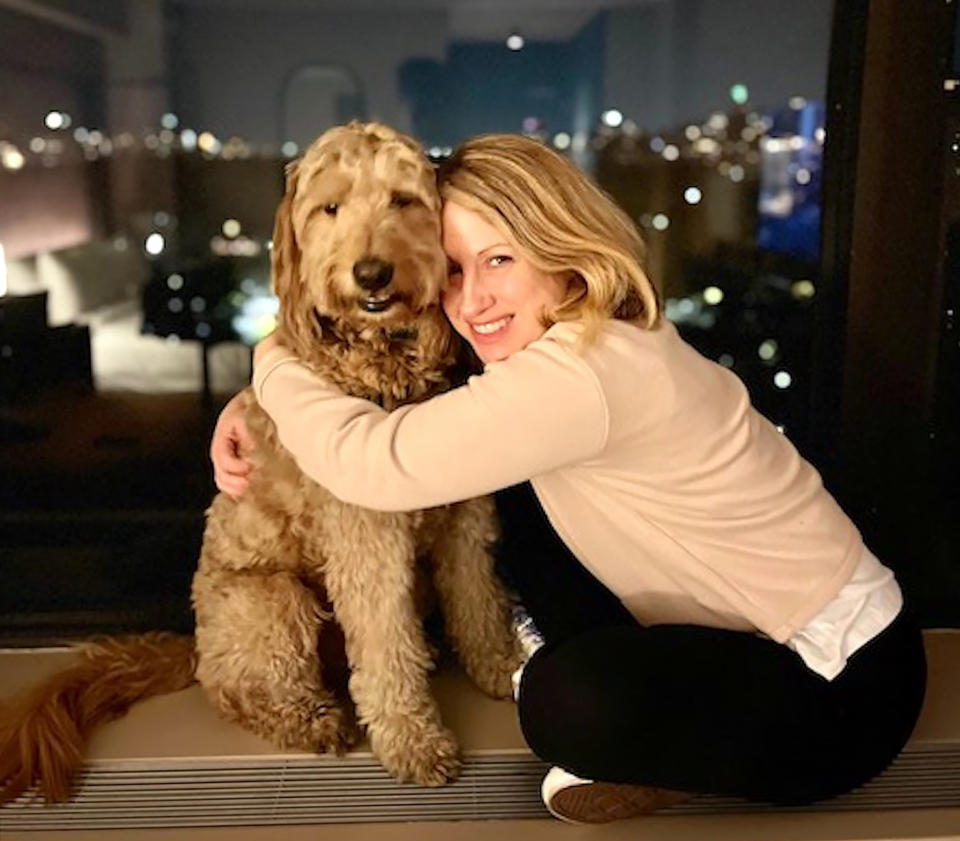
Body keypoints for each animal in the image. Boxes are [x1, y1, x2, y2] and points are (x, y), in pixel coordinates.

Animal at [0, 123, 520, 800]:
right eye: (330, 208)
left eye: (404, 201)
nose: (371, 273)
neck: (384, 367)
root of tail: (194, 648)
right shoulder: (367, 540)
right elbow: (386, 642)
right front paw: (412, 739)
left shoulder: (464, 519)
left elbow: (478, 599)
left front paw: (500, 666)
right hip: (273, 600)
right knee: (240, 691)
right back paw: (305, 717)